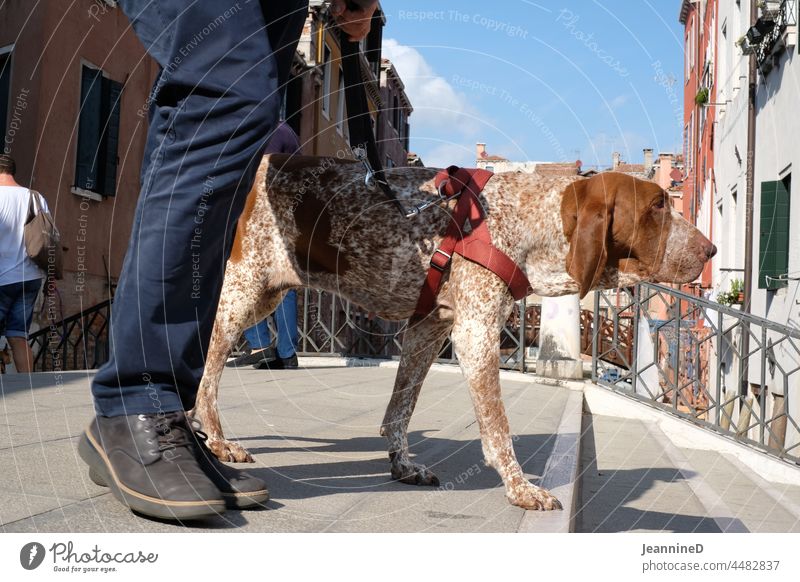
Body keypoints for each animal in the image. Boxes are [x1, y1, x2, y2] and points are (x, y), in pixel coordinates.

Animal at [191, 154, 716, 512]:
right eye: (657, 206)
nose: (710, 250)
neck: (527, 219)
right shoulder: (476, 333)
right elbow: (498, 428)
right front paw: (520, 487)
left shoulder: (428, 329)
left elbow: (399, 411)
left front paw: (401, 465)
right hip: (243, 290)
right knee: (207, 370)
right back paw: (214, 438)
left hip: (262, 294)